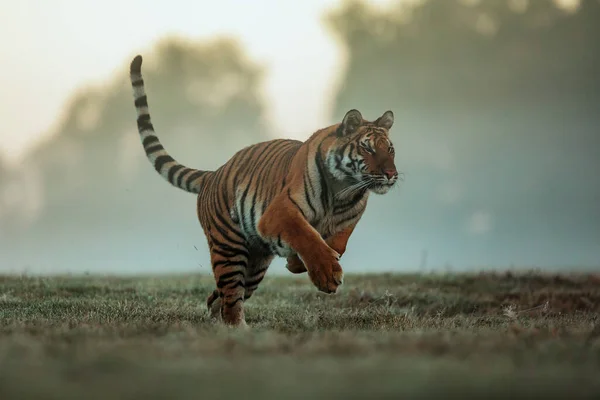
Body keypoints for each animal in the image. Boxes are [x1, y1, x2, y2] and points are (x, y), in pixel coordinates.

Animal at [127, 54, 398, 328]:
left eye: (390, 149)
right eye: (368, 149)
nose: (391, 174)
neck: (343, 190)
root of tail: (213, 174)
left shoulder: (348, 221)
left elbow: (338, 244)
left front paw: (297, 263)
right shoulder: (280, 212)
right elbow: (306, 235)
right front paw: (326, 274)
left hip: (255, 265)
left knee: (218, 298)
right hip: (229, 248)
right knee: (231, 296)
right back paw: (239, 329)